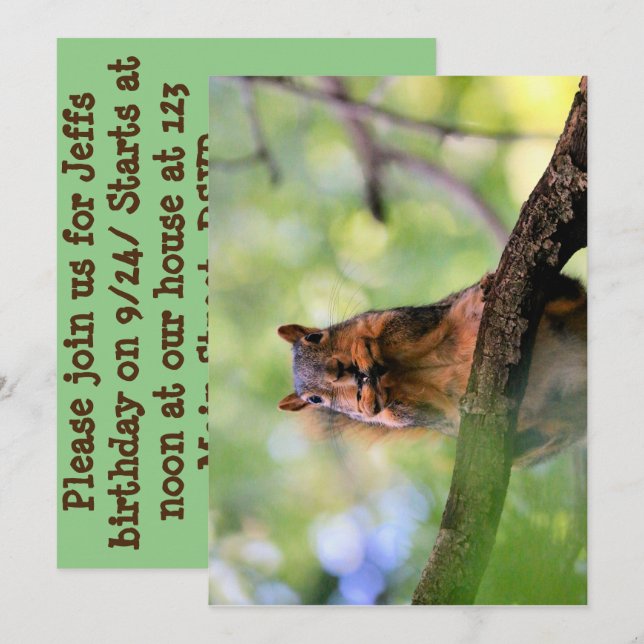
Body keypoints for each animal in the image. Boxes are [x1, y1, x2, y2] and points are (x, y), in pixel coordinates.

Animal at [277, 273, 586, 467]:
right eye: (314, 399)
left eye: (314, 337)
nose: (336, 369)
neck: (389, 370)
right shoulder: (404, 414)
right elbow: (410, 409)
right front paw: (368, 398)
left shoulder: (409, 318)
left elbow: (396, 330)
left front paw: (363, 347)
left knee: (573, 292)